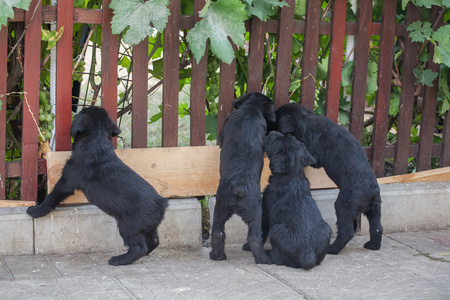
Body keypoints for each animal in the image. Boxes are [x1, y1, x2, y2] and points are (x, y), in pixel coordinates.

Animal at [28, 106, 169, 266]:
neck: (96, 143)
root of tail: (161, 203)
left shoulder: (66, 182)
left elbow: (51, 197)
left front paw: (36, 210)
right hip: (149, 227)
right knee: (154, 241)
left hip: (128, 225)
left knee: (139, 247)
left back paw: (120, 259)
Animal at [209, 92, 276, 264]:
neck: (251, 109)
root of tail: (239, 187)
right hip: (254, 214)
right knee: (254, 237)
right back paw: (263, 259)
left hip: (220, 209)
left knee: (218, 233)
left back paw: (217, 256)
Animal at [262, 131, 332, 270]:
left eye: (277, 141)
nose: (272, 132)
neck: (292, 176)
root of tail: (308, 254)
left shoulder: (265, 211)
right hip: (327, 229)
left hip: (276, 230)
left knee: (278, 259)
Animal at [274, 103, 384, 255]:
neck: (307, 120)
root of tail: (372, 192)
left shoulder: (314, 155)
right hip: (374, 209)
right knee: (377, 228)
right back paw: (373, 245)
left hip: (344, 206)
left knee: (347, 231)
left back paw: (333, 248)